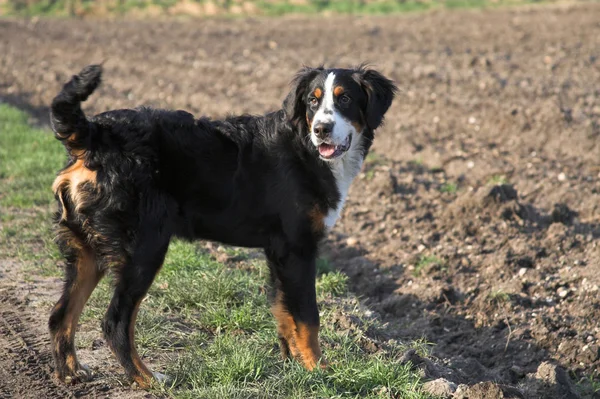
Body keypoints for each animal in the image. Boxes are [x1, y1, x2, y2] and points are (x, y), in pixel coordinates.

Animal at [49, 65, 396, 388]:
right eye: (313, 101)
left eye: (345, 98)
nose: (322, 129)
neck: (305, 147)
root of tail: (95, 135)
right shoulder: (298, 249)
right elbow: (308, 318)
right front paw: (319, 371)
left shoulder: (279, 252)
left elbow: (284, 312)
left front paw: (292, 364)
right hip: (143, 250)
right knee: (115, 322)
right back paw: (146, 378)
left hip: (87, 253)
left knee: (61, 315)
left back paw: (70, 372)